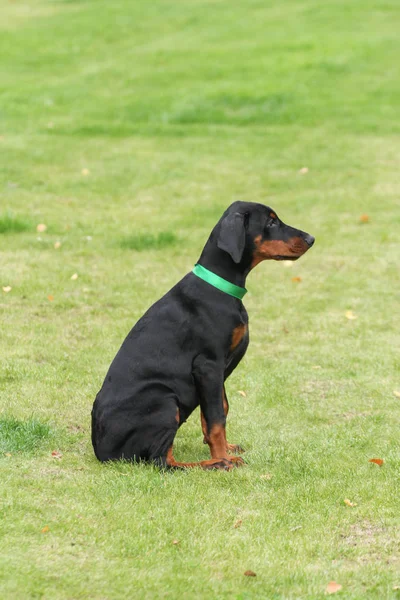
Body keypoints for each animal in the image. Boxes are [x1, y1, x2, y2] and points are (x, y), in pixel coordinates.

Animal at [92, 204, 314, 472]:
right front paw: (223, 455)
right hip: (164, 400)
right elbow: (217, 418)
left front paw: (226, 448)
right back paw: (216, 463)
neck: (220, 288)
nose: (311, 239)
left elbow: (219, 410)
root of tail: (102, 452)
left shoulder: (219, 370)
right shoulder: (208, 364)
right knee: (162, 462)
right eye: (271, 223)